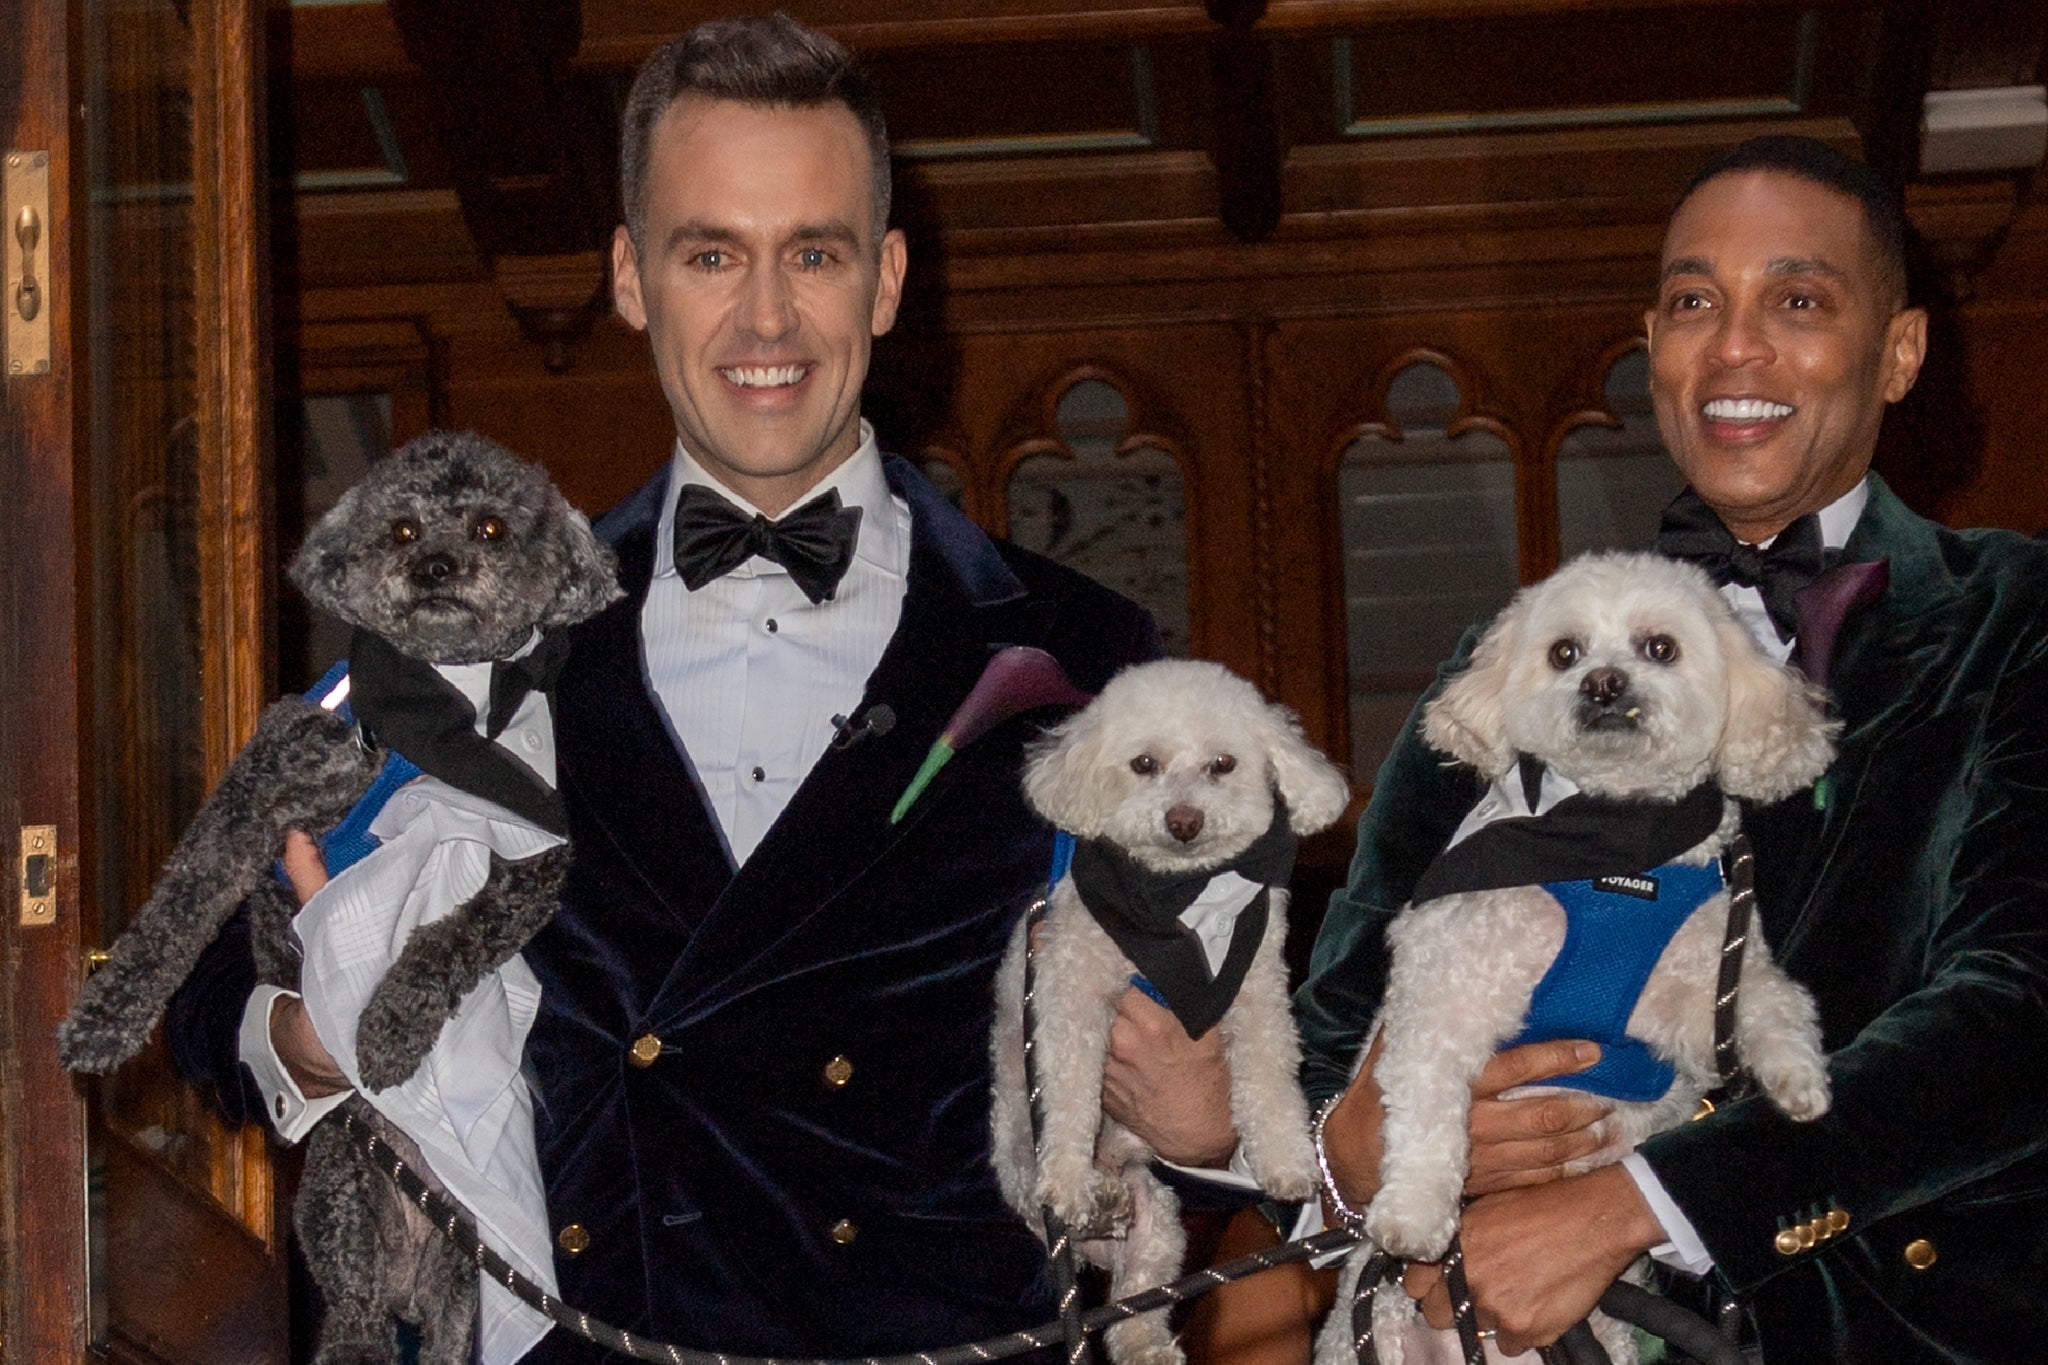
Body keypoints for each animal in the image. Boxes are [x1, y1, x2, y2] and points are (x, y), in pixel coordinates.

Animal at [995, 663, 1359, 1365]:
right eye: (1144, 764)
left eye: (1223, 763)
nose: (1184, 820)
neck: (1179, 902)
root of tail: (1095, 1249)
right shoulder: (1069, 994)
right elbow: (1072, 1091)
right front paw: (1070, 1175)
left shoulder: (1259, 994)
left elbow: (1268, 1080)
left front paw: (1286, 1158)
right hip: (1020, 1158)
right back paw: (1088, 1194)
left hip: (1158, 1225)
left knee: (1132, 1313)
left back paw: (1148, 1338)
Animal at [1327, 552, 1843, 1365]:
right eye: (1564, 652)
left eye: (1660, 647)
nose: (1603, 682)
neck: (1612, 845)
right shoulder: (1446, 995)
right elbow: (1426, 1107)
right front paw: (1413, 1210)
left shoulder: (1696, 994)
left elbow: (1770, 1002)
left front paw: (1798, 1079)